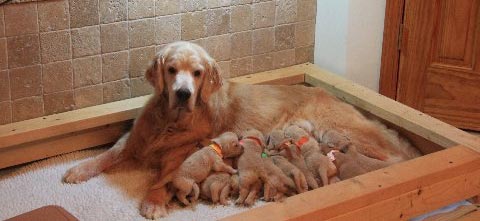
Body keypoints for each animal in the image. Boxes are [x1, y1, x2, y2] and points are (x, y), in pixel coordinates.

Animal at [63, 41, 420, 218]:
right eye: (172, 69)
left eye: (197, 73)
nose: (183, 93)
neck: (171, 120)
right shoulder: (137, 138)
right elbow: (110, 153)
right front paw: (80, 169)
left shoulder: (183, 152)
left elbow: (163, 177)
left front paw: (153, 201)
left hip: (344, 131)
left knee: (394, 157)